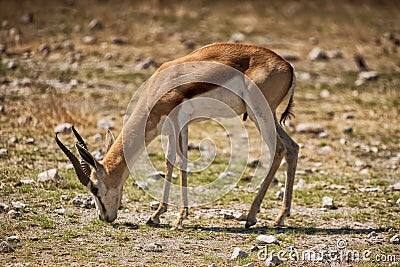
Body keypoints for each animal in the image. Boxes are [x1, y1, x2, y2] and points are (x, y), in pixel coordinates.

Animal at [54, 43, 298, 229]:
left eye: (94, 188)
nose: (104, 217)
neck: (158, 88)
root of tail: (288, 66)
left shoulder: (178, 120)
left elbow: (180, 162)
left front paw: (179, 219)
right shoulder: (178, 126)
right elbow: (169, 162)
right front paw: (156, 215)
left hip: (259, 113)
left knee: (278, 149)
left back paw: (252, 217)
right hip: (267, 116)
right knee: (292, 147)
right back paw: (279, 217)